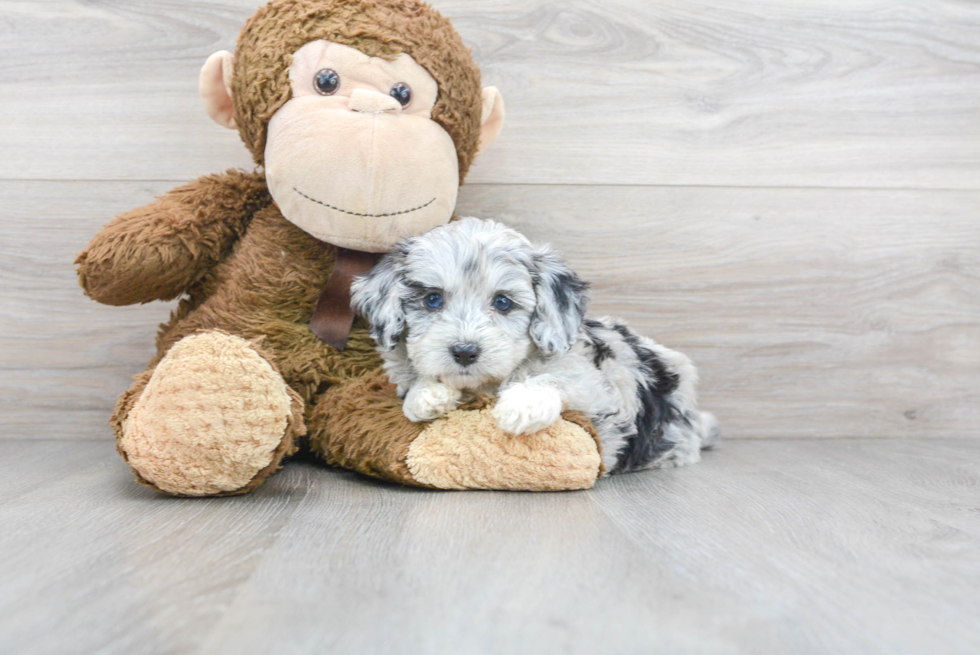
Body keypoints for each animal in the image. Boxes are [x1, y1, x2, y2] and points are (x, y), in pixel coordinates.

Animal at [348, 218, 716, 474]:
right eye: (432, 299)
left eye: (503, 302)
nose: (465, 352)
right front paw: (427, 395)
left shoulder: (597, 387)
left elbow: (555, 376)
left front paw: (521, 404)